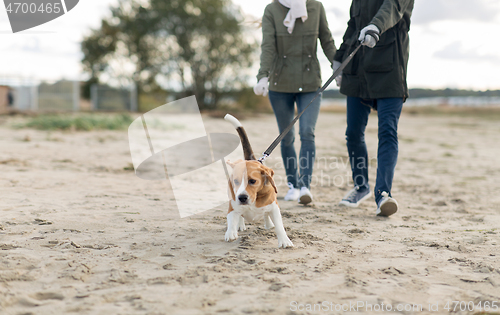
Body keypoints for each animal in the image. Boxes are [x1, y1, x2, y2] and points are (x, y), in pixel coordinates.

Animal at [224, 114, 292, 249]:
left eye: (252, 181)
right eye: (235, 181)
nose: (242, 197)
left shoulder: (274, 207)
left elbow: (279, 226)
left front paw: (284, 241)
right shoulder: (232, 206)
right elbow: (232, 218)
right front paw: (231, 232)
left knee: (266, 215)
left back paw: (268, 223)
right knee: (240, 216)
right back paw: (240, 225)